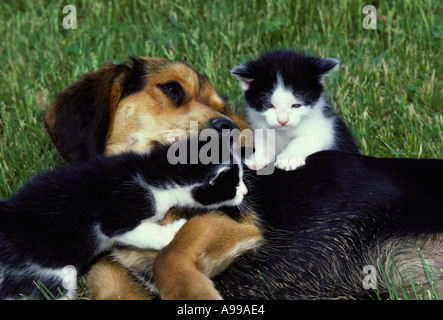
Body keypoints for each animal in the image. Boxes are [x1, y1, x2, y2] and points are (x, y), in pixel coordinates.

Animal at [0, 141, 246, 300]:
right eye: (234, 184)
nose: (245, 192)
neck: (152, 173)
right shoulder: (117, 214)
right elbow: (141, 232)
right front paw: (176, 228)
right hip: (49, 272)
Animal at [232, 50, 360, 171]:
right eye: (268, 105)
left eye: (296, 105)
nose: (282, 121)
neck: (282, 132)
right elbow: (263, 140)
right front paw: (258, 159)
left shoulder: (326, 129)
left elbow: (304, 139)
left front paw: (288, 158)